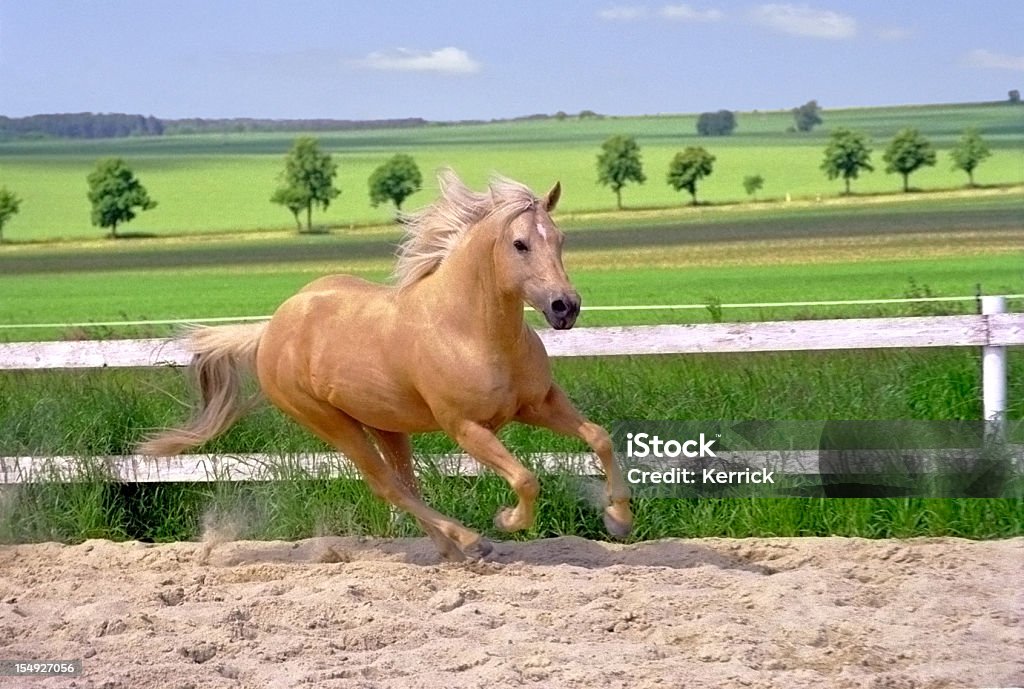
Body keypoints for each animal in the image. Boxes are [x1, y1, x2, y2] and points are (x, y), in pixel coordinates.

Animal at [139, 170, 626, 556]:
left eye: (560, 239)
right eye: (520, 244)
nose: (565, 307)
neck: (471, 332)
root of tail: (271, 329)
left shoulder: (539, 404)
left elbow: (599, 437)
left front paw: (618, 518)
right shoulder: (467, 428)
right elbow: (526, 479)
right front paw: (507, 521)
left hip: (385, 424)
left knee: (404, 484)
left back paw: (451, 548)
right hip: (332, 424)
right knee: (386, 484)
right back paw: (470, 541)